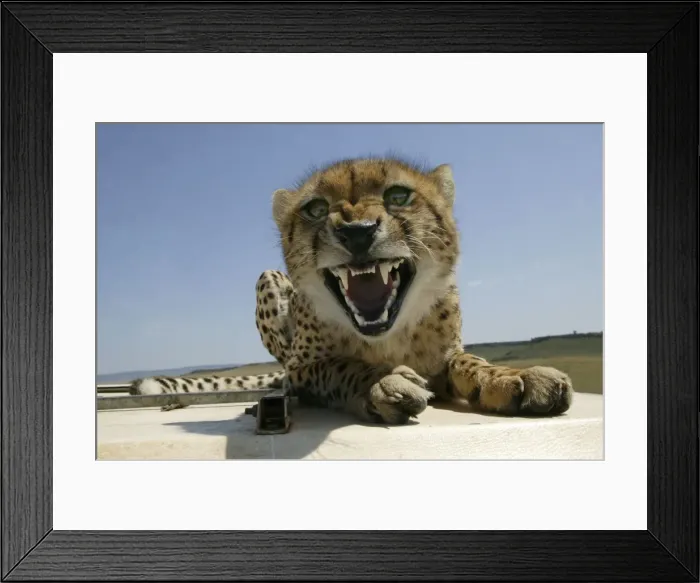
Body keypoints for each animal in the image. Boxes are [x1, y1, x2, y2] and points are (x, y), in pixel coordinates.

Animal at [131, 156, 573, 423]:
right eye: (316, 209)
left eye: (398, 195)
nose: (357, 232)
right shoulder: (302, 368)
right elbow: (340, 366)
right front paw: (380, 381)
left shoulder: (445, 356)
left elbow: (469, 361)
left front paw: (511, 376)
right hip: (268, 280)